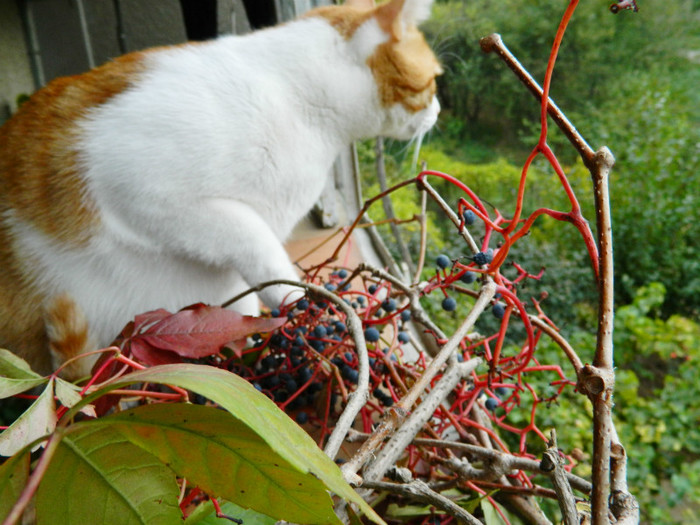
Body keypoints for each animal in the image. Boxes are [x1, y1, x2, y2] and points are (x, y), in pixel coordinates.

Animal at [0, 0, 440, 376]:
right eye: (436, 80)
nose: (437, 112)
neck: (302, 105)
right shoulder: (141, 188)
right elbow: (256, 242)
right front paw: (300, 304)